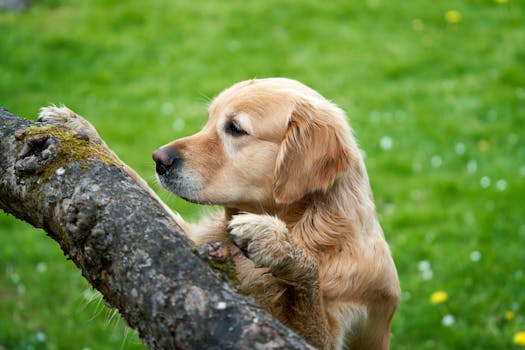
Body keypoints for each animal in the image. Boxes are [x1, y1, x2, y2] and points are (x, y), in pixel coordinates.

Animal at [152, 78, 402, 350]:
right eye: (209, 120)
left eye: (235, 128)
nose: (159, 159)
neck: (310, 227)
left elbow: (309, 283)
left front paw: (276, 243)